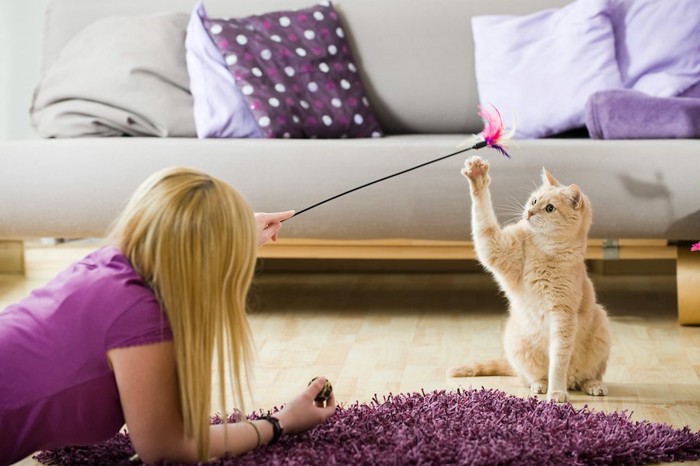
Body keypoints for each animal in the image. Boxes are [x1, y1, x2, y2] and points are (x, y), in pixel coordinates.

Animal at [448, 157, 612, 404]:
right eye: (534, 200)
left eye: (550, 208)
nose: (529, 212)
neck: (546, 251)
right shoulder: (497, 248)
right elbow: (484, 224)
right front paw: (477, 177)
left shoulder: (563, 317)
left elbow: (558, 360)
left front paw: (557, 391)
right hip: (515, 340)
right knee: (531, 377)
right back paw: (540, 384)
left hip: (601, 326)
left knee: (587, 376)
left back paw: (591, 385)